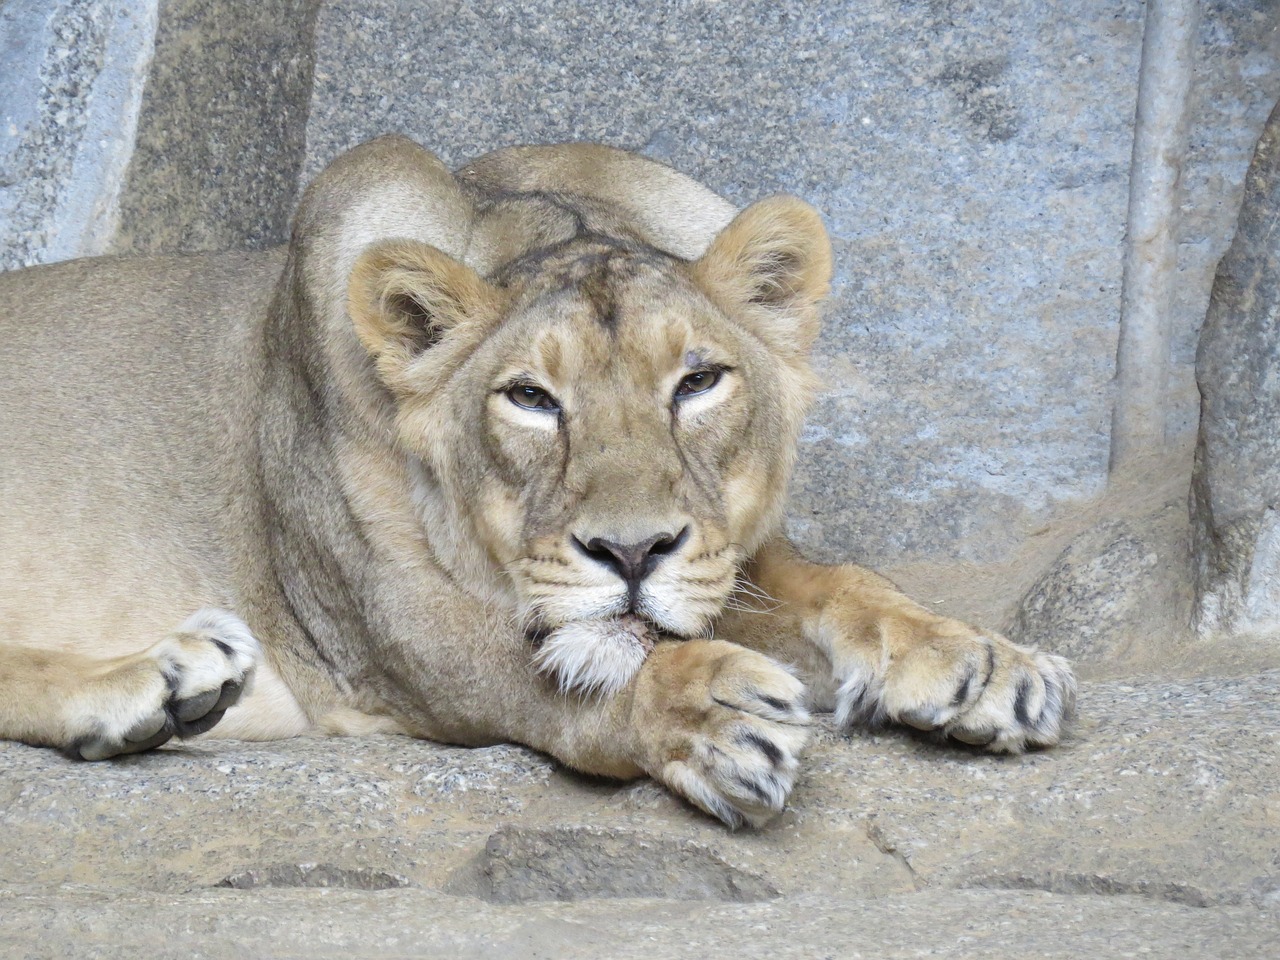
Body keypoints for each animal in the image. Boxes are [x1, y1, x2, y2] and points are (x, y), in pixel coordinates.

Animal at [0, 133, 1070, 829]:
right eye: (530, 398)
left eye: (698, 382)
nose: (631, 552)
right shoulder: (384, 616)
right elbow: (559, 674)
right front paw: (710, 713)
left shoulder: (731, 548)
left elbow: (836, 580)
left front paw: (979, 661)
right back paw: (158, 677)